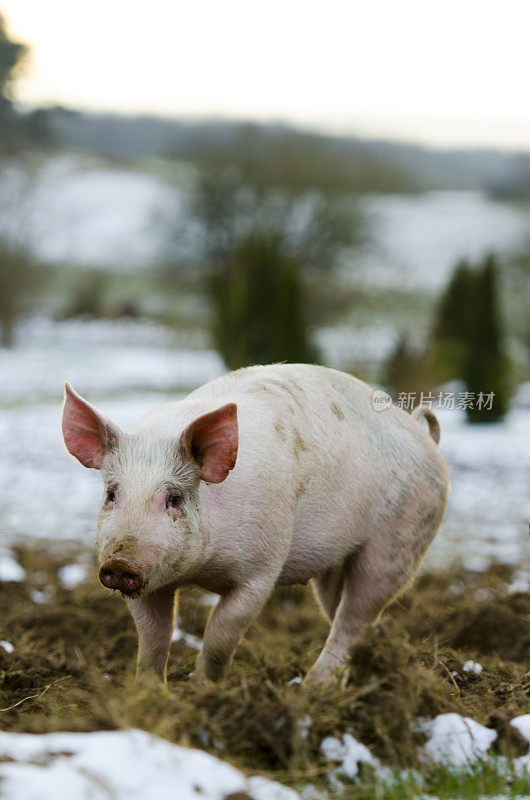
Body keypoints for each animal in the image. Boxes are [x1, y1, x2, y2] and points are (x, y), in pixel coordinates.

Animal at [64, 364, 448, 688]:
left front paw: (203, 691)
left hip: (398, 544)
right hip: (337, 564)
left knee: (353, 619)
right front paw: (149, 695)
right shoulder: (151, 583)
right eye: (112, 493)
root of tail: (421, 432)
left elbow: (220, 636)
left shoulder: (261, 570)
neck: (201, 572)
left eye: (173, 498)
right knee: (349, 616)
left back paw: (312, 691)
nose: (119, 563)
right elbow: (153, 639)